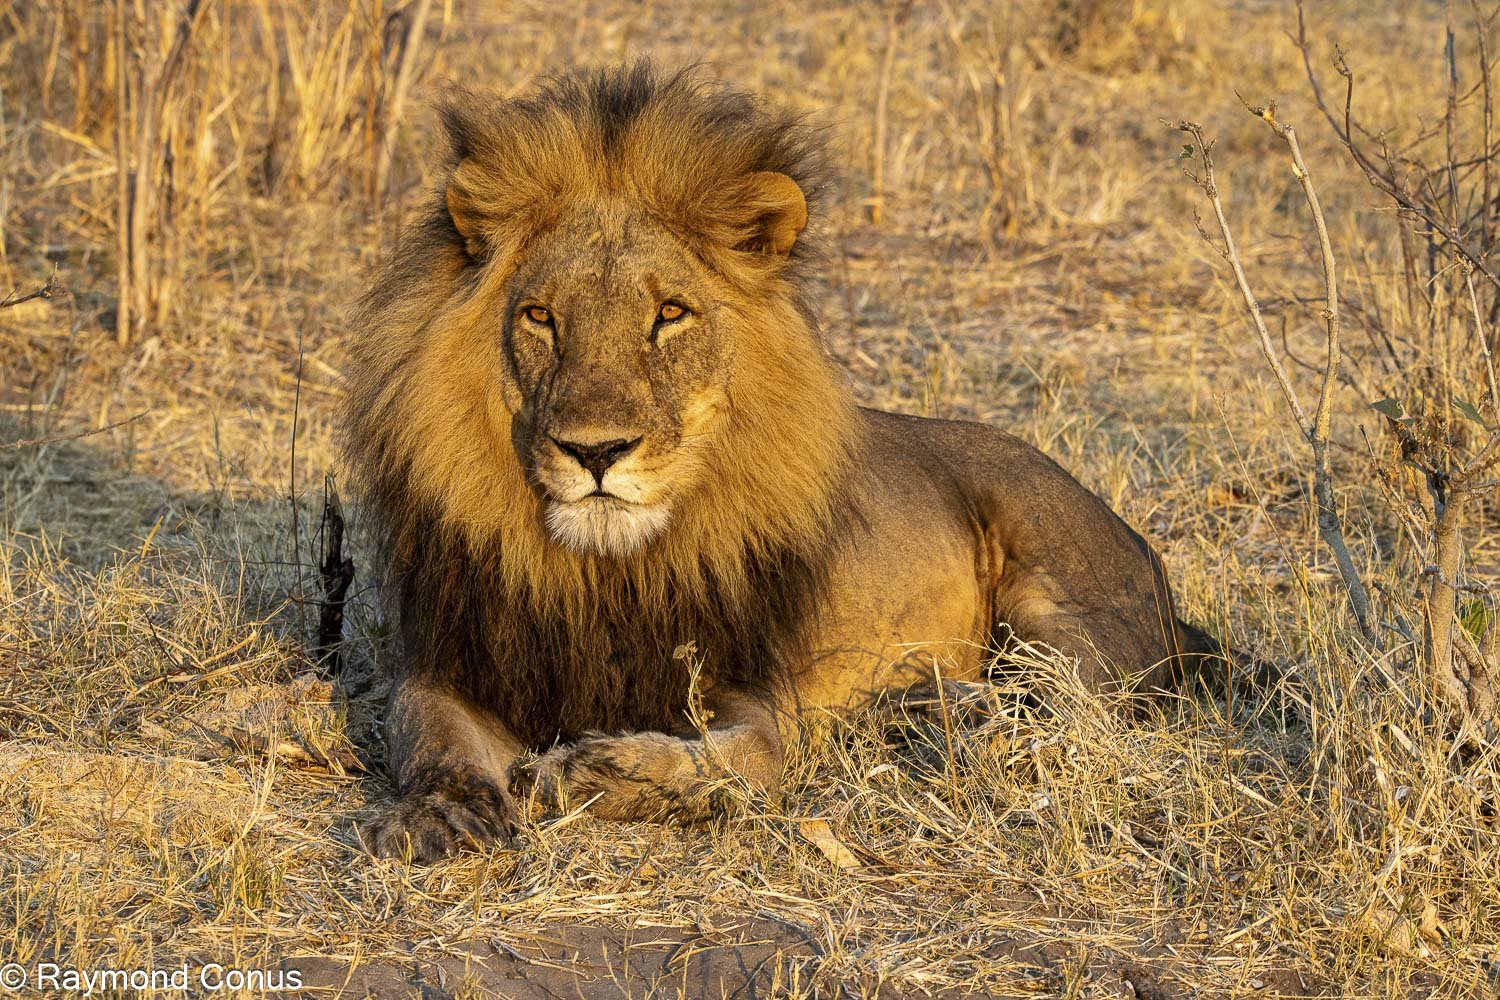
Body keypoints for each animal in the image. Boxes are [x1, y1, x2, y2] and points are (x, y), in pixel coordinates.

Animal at [342, 63, 1215, 862]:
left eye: (669, 315)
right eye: (540, 317)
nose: (595, 451)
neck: (608, 574)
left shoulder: (757, 694)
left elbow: (742, 759)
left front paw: (595, 771)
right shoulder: (454, 662)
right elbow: (429, 737)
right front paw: (436, 816)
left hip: (1057, 595)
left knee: (1064, 701)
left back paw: (936, 710)